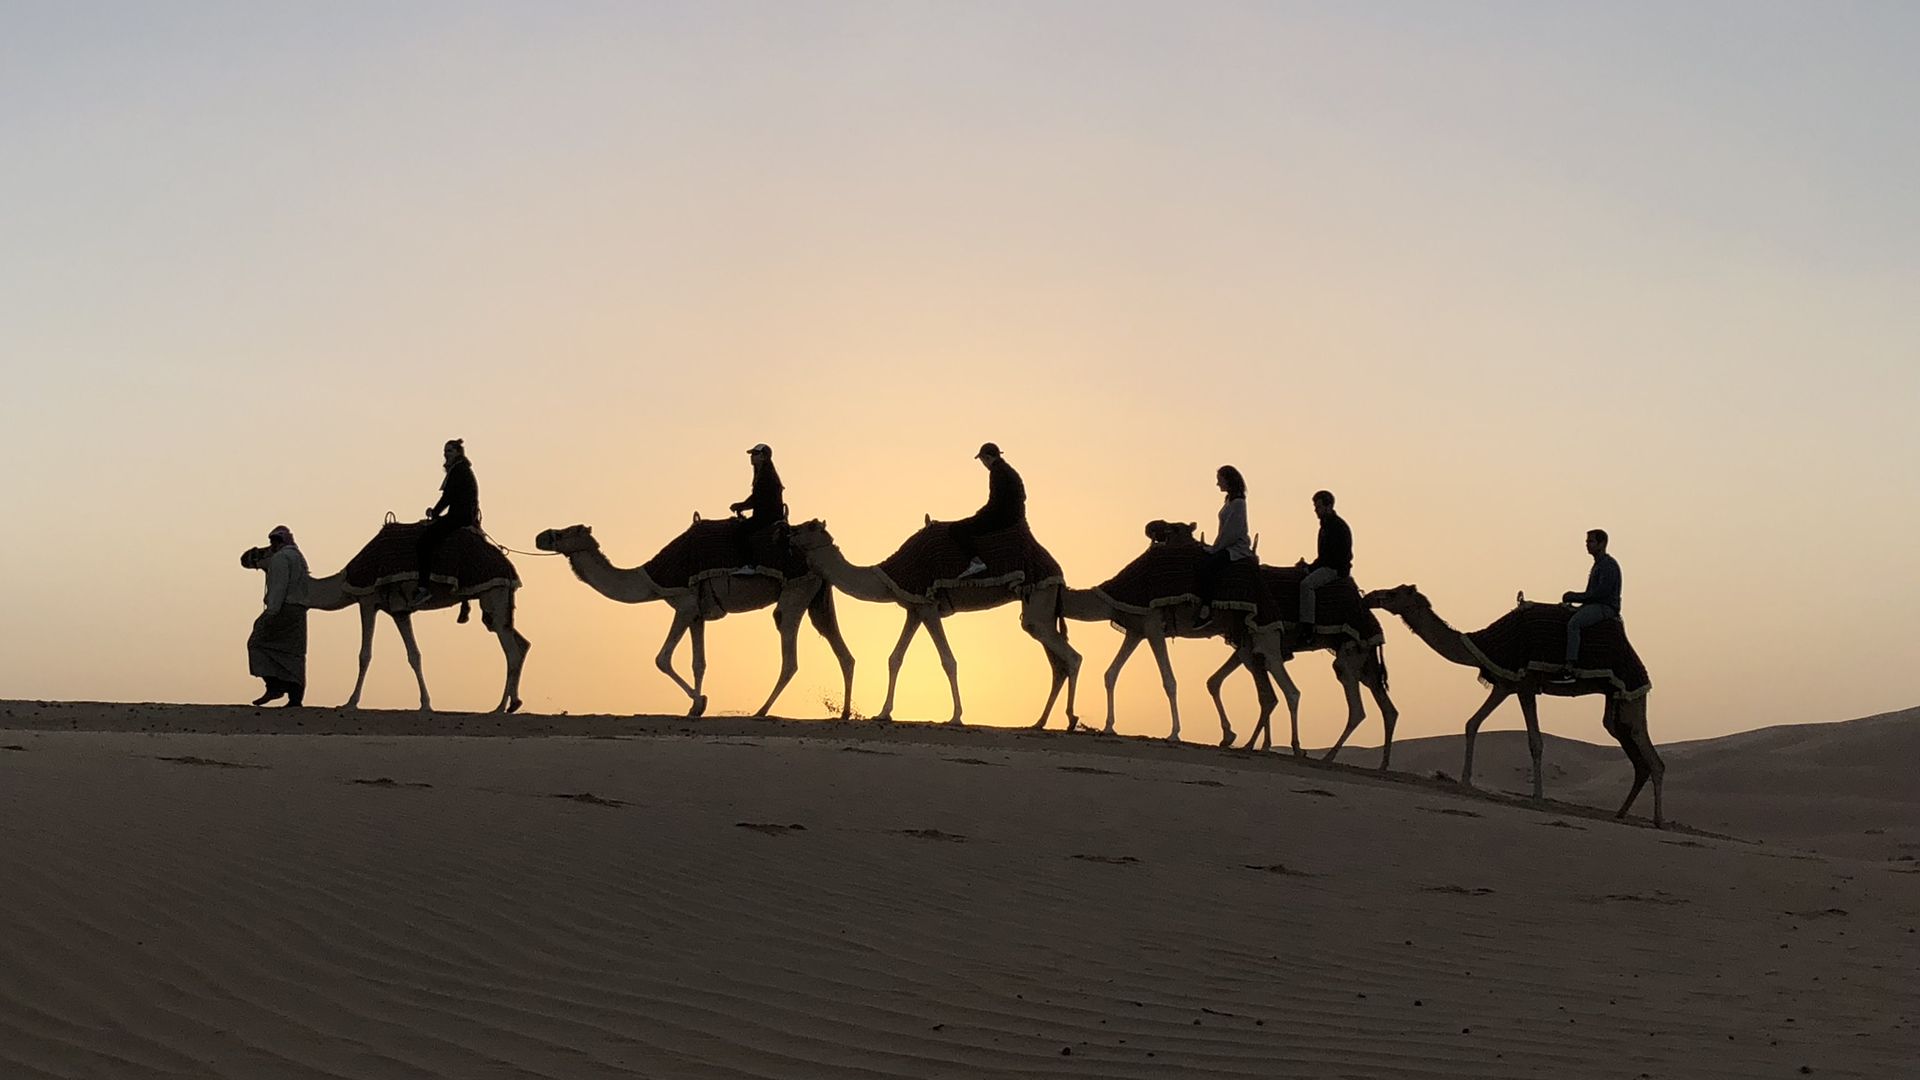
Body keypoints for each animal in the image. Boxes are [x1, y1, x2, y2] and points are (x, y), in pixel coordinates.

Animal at [242, 545, 528, 713]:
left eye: (266, 549)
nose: (246, 555)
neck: (343, 582)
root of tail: (510, 568)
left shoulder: (367, 601)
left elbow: (364, 655)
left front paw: (350, 702)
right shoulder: (399, 611)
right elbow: (414, 655)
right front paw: (425, 704)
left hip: (493, 594)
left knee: (511, 650)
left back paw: (500, 707)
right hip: (497, 604)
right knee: (522, 643)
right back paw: (513, 702)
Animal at [534, 524, 854, 718]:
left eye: (568, 531)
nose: (541, 536)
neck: (648, 578)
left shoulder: (685, 604)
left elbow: (662, 658)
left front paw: (698, 703)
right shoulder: (699, 613)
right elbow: (698, 662)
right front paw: (696, 706)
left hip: (795, 592)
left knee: (790, 653)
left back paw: (762, 711)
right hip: (817, 596)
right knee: (841, 650)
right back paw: (845, 713)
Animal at [786, 519, 1080, 727]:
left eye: (809, 526)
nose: (787, 530)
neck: (889, 577)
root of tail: (1056, 568)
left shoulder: (928, 606)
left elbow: (948, 660)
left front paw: (956, 717)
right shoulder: (915, 608)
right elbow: (895, 658)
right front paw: (883, 713)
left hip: (1039, 596)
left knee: (1071, 657)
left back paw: (1070, 720)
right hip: (1040, 603)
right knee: (1057, 662)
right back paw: (1040, 722)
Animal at [1364, 584, 1663, 826]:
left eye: (1394, 593)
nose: (1369, 596)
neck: (1484, 645)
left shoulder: (1526, 683)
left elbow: (1535, 741)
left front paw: (1538, 796)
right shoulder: (1505, 683)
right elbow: (1472, 723)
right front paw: (1465, 780)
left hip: (1631, 690)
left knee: (1650, 754)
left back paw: (1658, 820)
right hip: (1615, 699)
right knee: (1630, 746)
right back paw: (1621, 813)